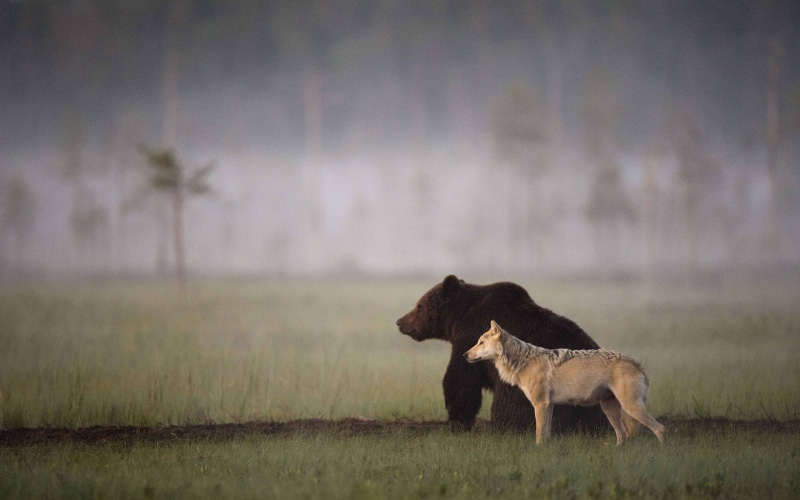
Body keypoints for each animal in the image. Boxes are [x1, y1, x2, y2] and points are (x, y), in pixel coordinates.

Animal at [396, 274, 608, 433]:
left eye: (420, 306)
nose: (400, 321)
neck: (458, 318)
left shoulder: (469, 338)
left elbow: (461, 380)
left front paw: (457, 421)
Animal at [464, 321, 665, 445]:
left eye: (481, 342)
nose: (464, 354)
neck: (523, 361)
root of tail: (638, 365)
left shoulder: (540, 404)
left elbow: (539, 434)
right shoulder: (549, 405)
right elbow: (546, 434)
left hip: (631, 407)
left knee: (660, 429)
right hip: (610, 409)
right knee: (622, 435)